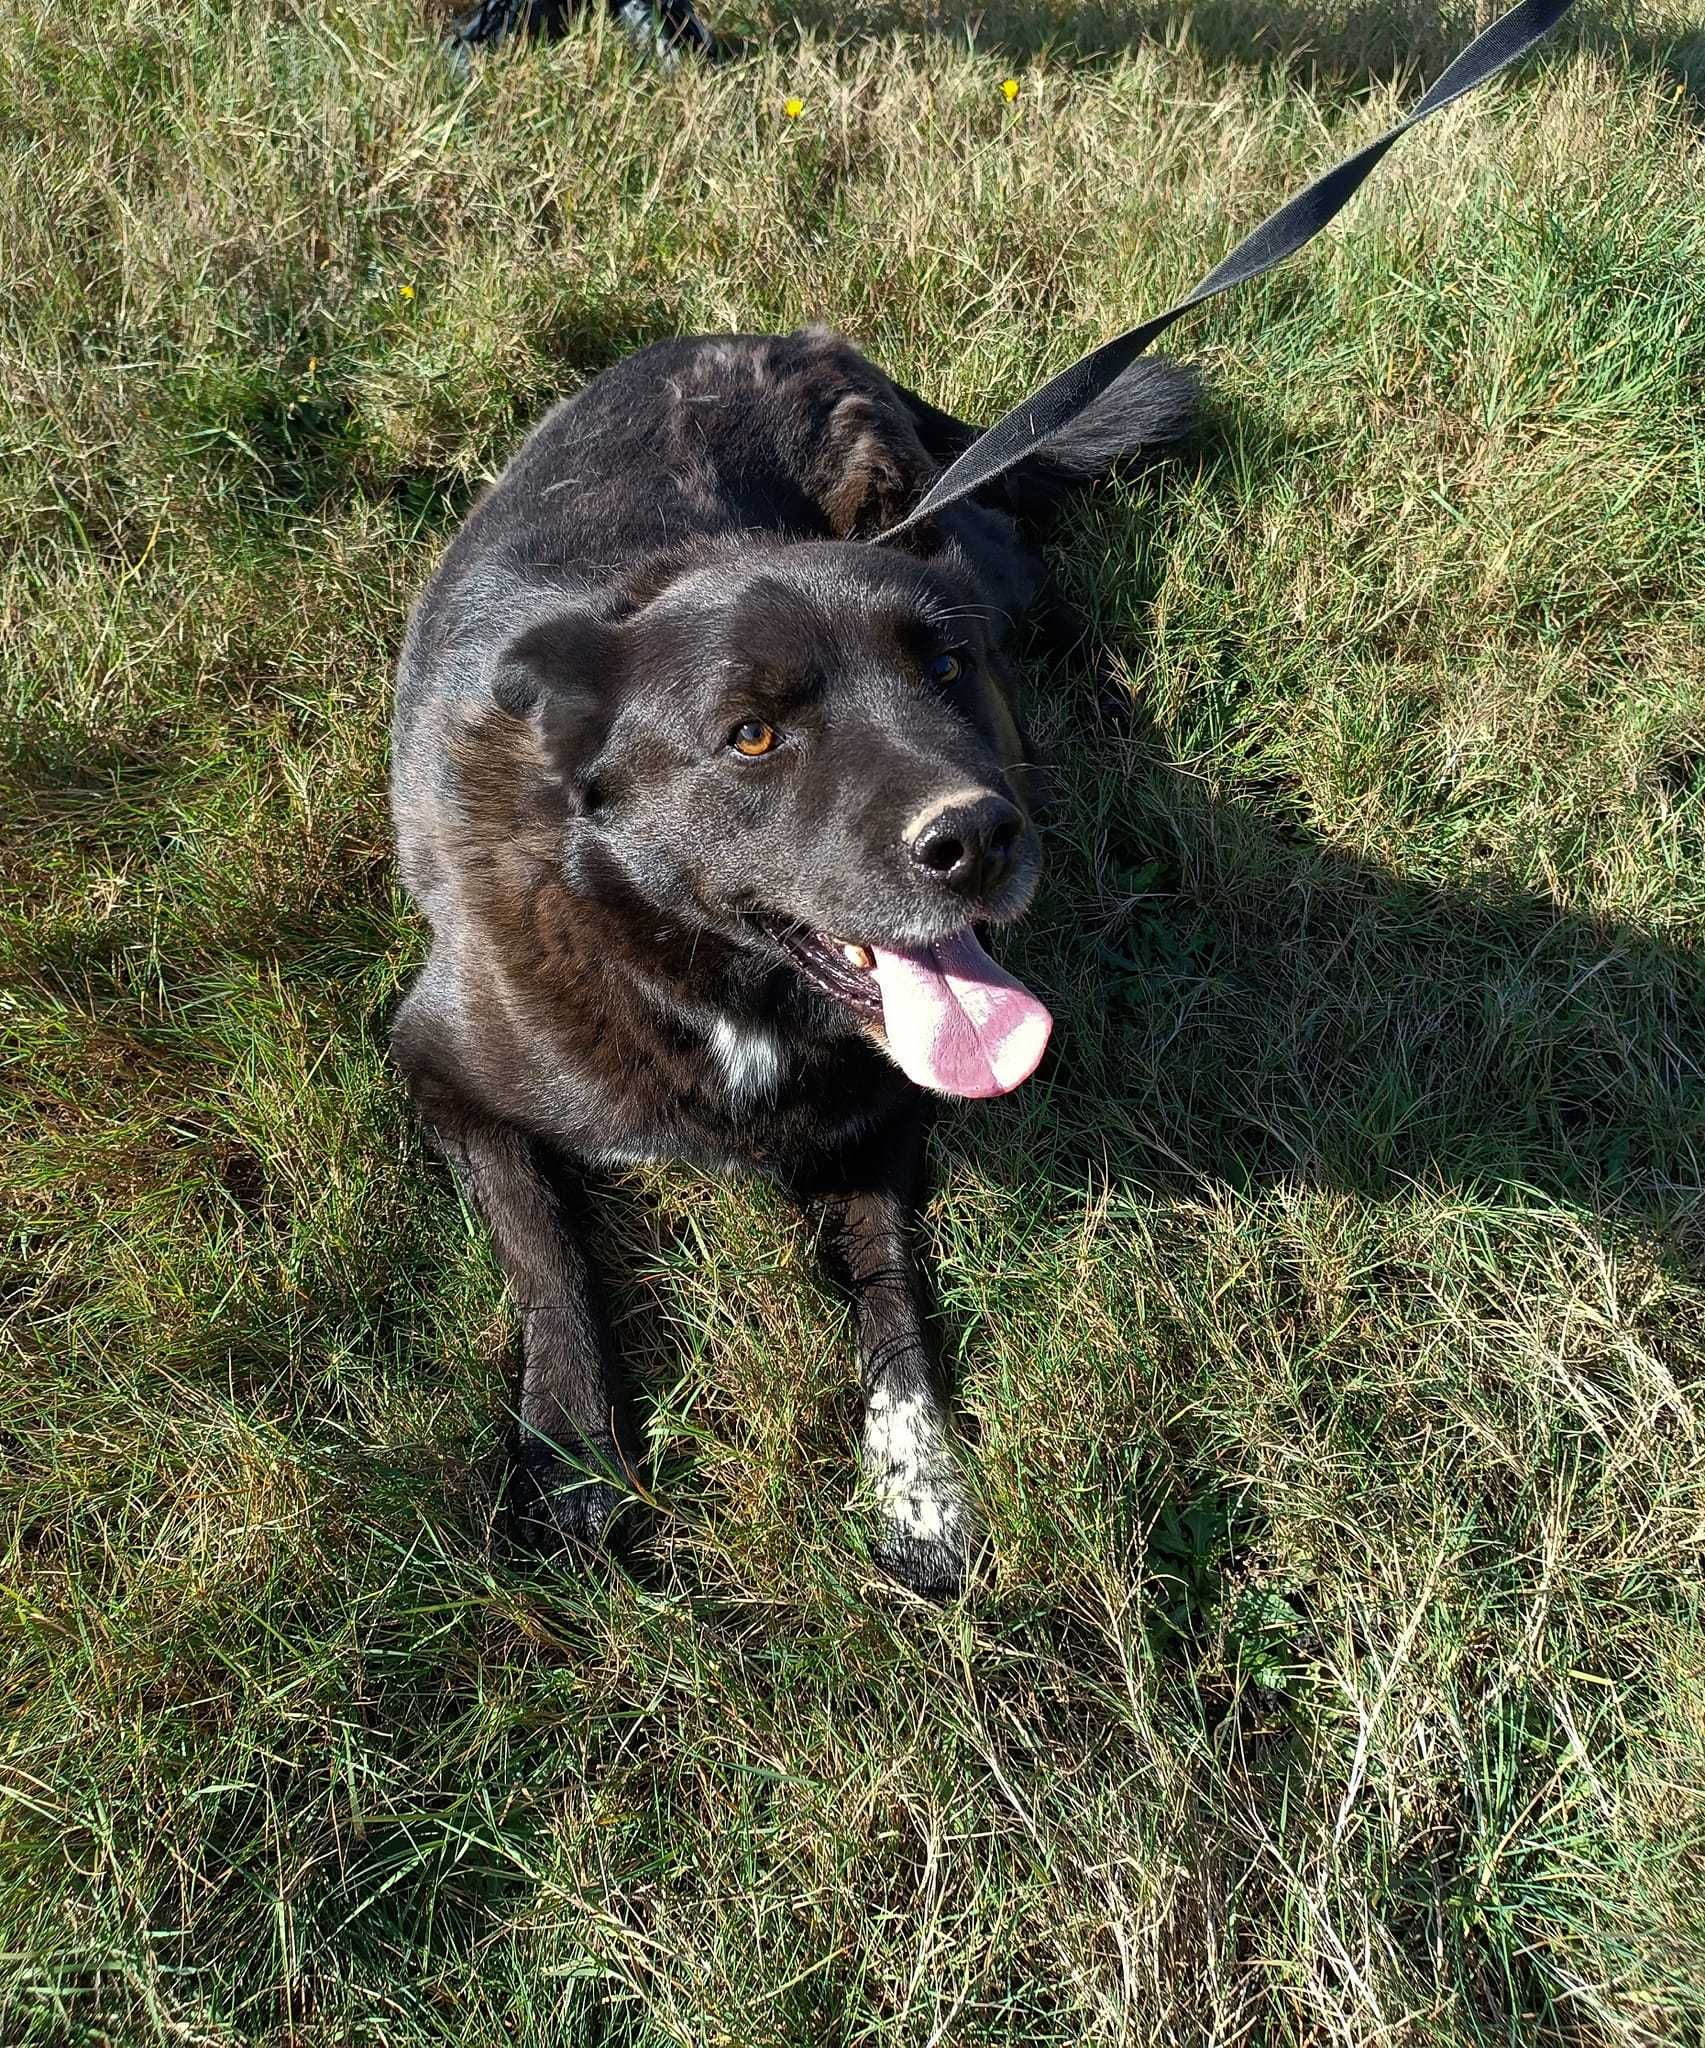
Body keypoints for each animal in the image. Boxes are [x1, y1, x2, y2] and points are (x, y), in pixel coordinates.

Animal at [390, 327, 1187, 1589]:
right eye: (752, 735)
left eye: (944, 671)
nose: (979, 839)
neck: (698, 978)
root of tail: (798, 340)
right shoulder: (437, 1068)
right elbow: (551, 1253)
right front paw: (572, 1456)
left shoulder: (889, 1114)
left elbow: (889, 1287)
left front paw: (920, 1482)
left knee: (1016, 553)